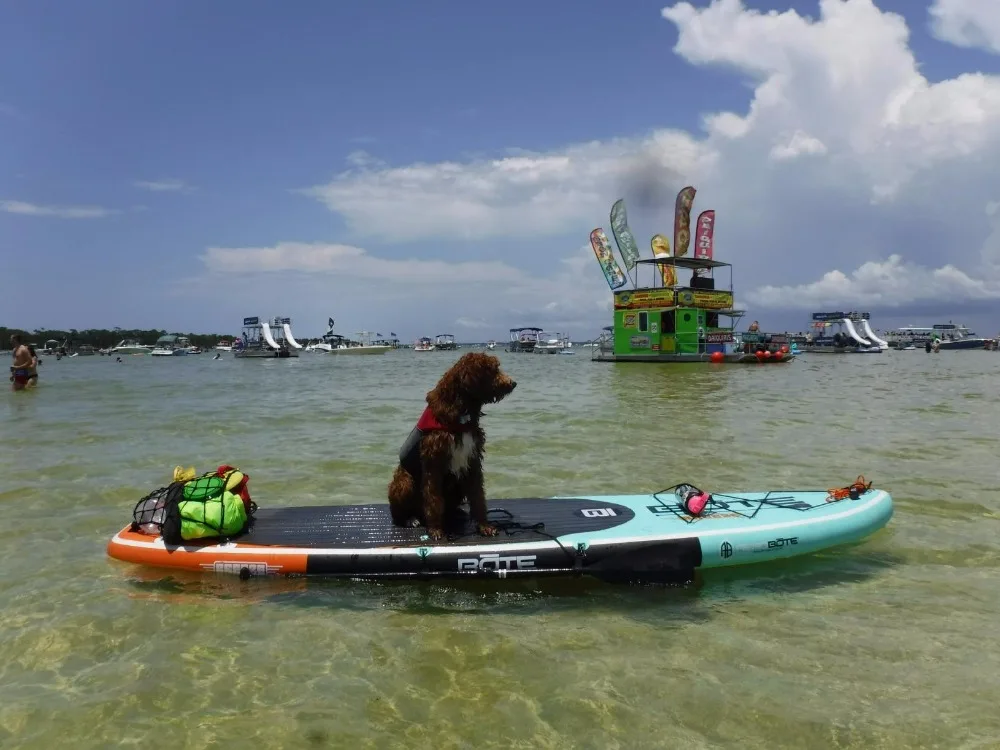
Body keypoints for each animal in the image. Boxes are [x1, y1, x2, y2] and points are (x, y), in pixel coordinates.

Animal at [388, 352, 520, 540]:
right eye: (492, 370)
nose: (513, 383)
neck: (461, 410)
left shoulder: (473, 459)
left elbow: (478, 496)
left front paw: (484, 526)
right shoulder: (434, 462)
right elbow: (433, 498)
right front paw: (436, 529)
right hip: (403, 481)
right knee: (399, 512)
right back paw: (410, 519)